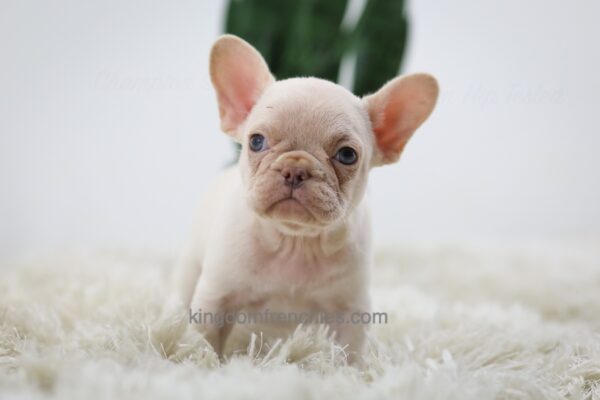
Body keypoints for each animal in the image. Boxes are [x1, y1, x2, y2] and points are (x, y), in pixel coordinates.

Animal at [171, 33, 438, 360]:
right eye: (256, 142)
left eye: (347, 155)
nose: (295, 169)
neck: (295, 242)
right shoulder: (217, 297)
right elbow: (205, 339)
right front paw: (202, 362)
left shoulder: (351, 310)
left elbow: (350, 354)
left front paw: (352, 372)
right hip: (190, 269)